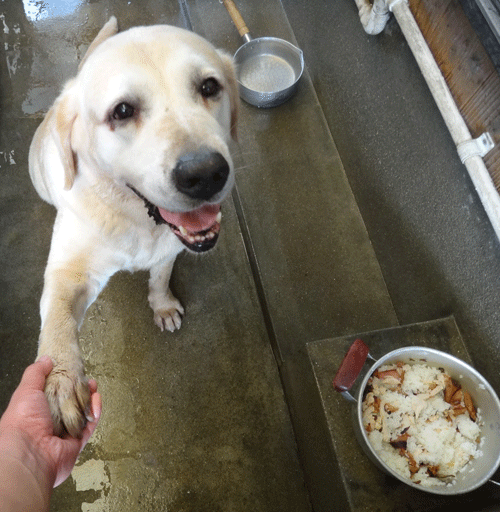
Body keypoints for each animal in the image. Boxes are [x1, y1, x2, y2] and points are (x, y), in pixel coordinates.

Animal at [28, 18, 239, 438]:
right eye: (122, 111)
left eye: (209, 87)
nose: (205, 174)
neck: (136, 218)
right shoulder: (71, 273)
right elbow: (57, 316)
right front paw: (61, 379)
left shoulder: (169, 249)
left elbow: (160, 277)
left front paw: (162, 306)